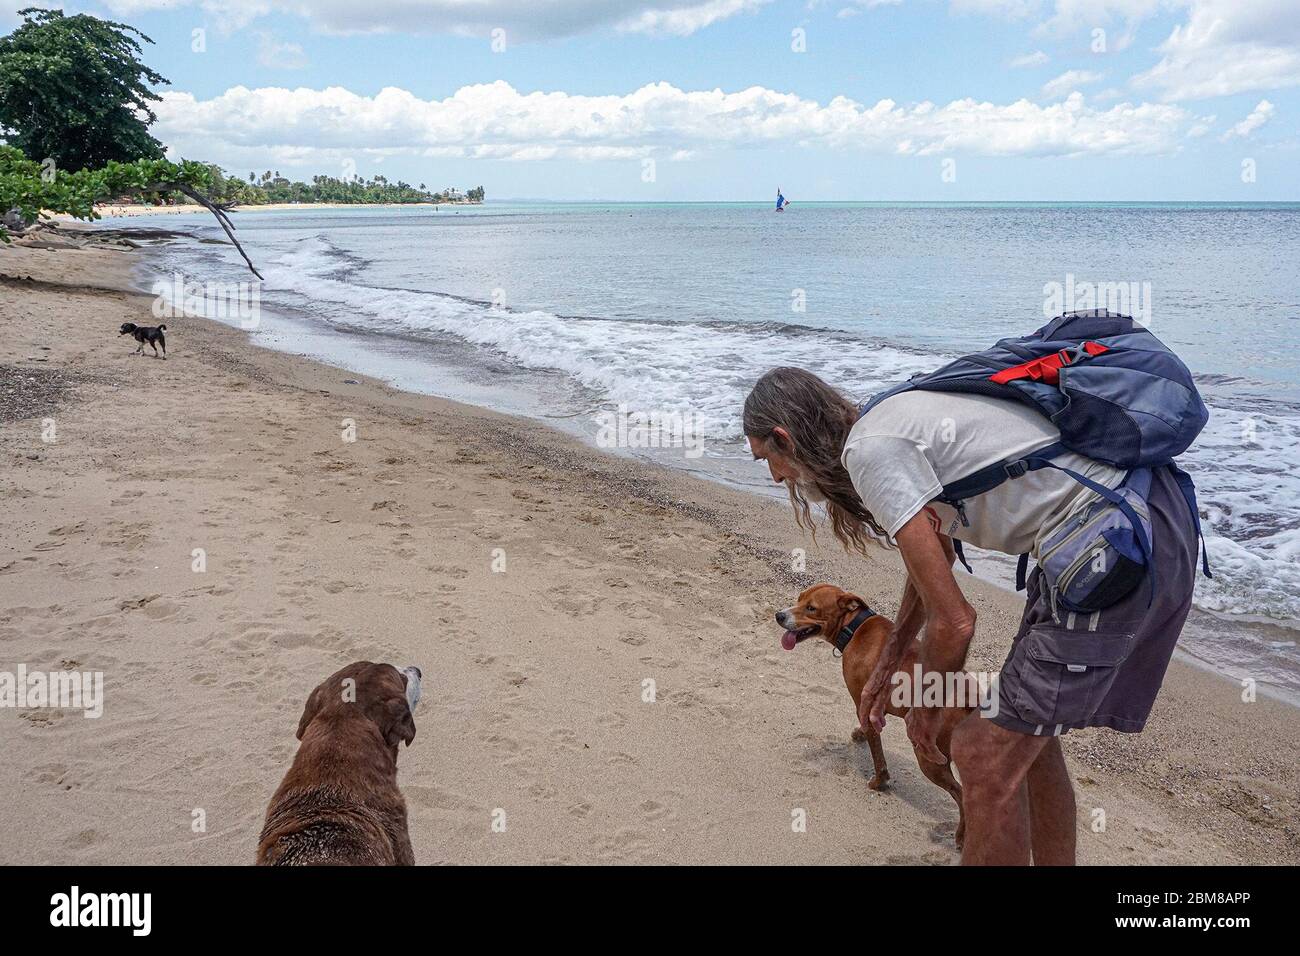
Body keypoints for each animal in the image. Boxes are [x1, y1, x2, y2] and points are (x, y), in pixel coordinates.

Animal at [774, 582, 972, 842]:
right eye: (799, 599)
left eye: (811, 608)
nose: (779, 615)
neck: (854, 627)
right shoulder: (876, 704)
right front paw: (859, 734)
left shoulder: (863, 701)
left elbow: (878, 755)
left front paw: (879, 782)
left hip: (929, 756)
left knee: (961, 793)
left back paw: (960, 836)